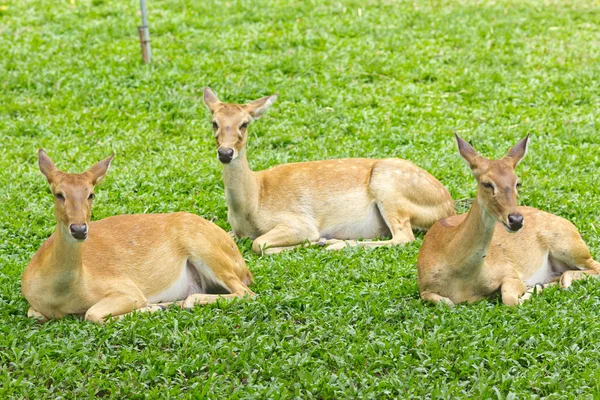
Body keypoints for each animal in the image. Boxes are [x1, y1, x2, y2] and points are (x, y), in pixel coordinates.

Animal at [21, 148, 253, 324]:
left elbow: (92, 313)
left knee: (245, 292)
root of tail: (242, 265)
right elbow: (34, 314)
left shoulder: (125, 287)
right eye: (58, 194)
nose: (79, 229)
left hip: (206, 249)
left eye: (91, 194)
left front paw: (153, 308)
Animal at [202, 88, 454, 255]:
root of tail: (448, 206)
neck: (253, 202)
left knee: (404, 237)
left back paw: (334, 244)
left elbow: (259, 244)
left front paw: (314, 242)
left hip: (389, 188)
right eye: (214, 122)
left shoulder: (298, 222)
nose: (225, 153)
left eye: (244, 123)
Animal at [418, 134, 600, 306]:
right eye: (487, 183)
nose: (516, 220)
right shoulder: (424, 288)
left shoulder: (509, 272)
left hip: (569, 246)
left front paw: (531, 290)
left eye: (517, 182)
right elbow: (446, 302)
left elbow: (509, 299)